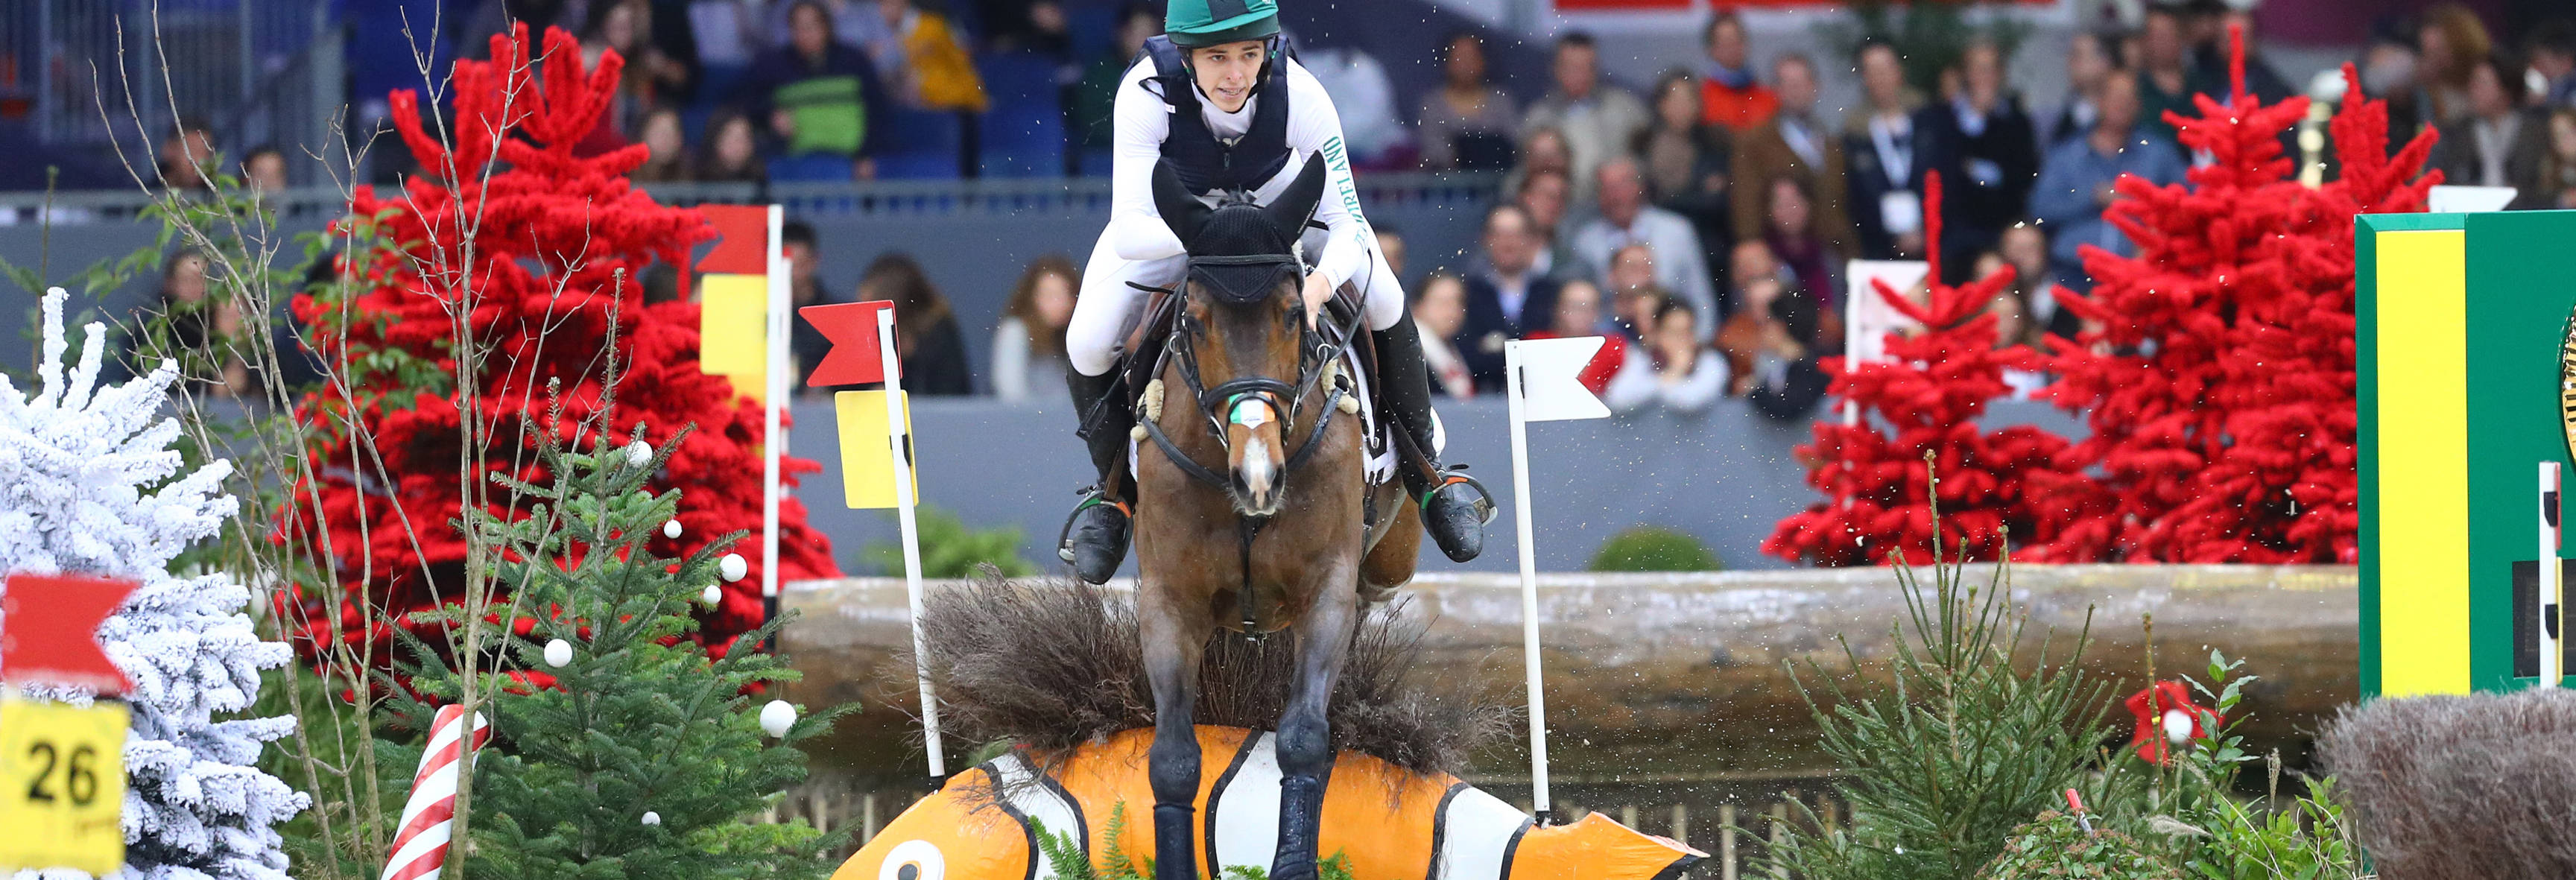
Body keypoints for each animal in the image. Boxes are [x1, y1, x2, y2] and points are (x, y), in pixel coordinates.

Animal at [1123, 158, 1422, 880]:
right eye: (1195, 320)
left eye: (1292, 314)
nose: (1258, 477)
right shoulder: (1169, 602)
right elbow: (1173, 759)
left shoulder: (1326, 592)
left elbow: (1303, 736)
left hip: (1390, 557)